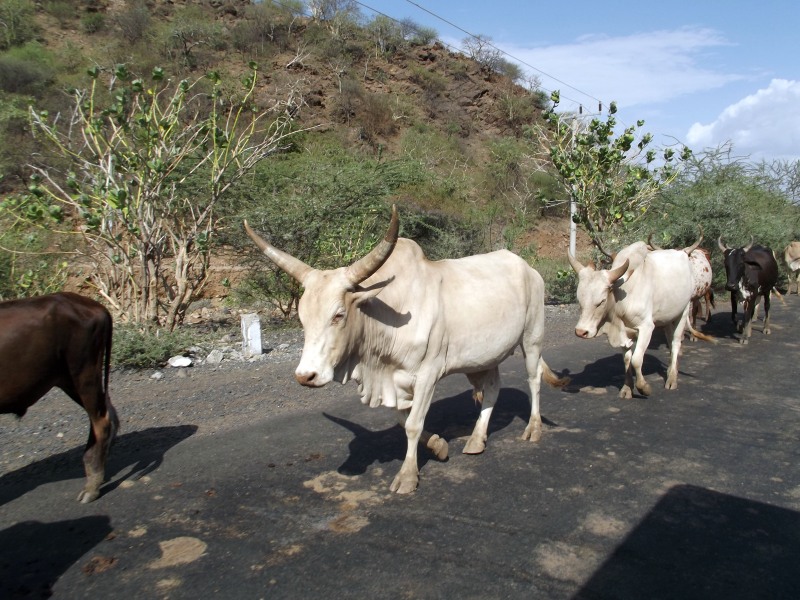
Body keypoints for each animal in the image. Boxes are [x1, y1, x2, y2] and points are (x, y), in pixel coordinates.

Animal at [0, 290, 119, 502]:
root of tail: (98, 307)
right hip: (68, 380)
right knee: (106, 413)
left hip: (83, 372)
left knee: (101, 421)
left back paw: (92, 485)